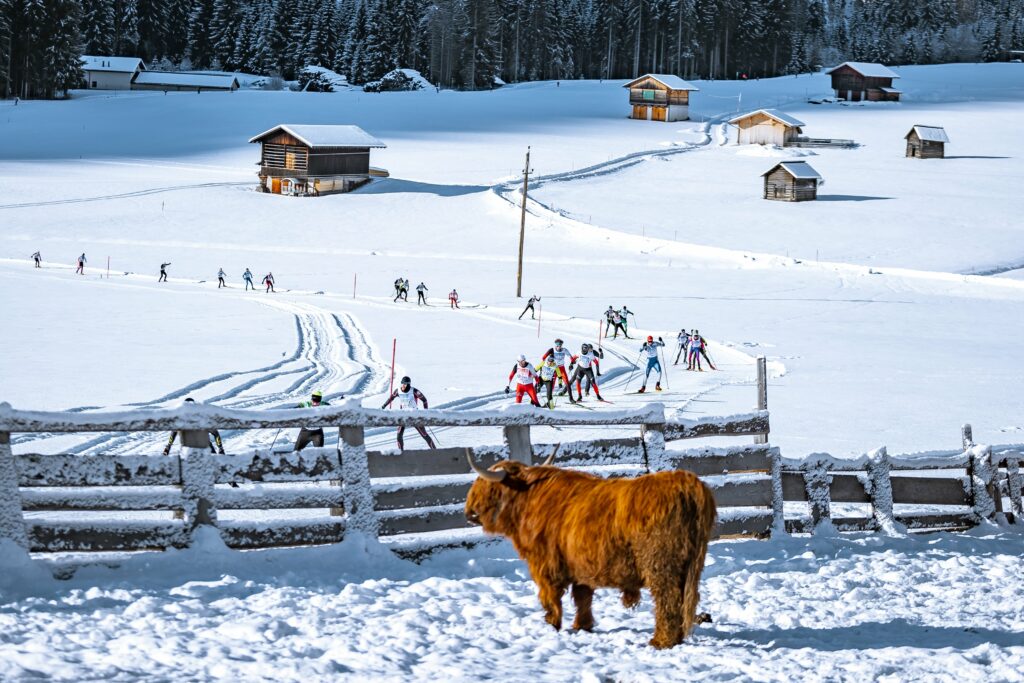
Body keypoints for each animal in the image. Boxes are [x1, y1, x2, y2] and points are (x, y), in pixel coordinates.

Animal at [466, 450, 716, 651]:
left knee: (667, 601)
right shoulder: (580, 566)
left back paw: (661, 641)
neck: (528, 499)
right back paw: (678, 637)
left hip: (661, 566)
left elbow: (551, 597)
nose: (469, 512)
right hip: (689, 566)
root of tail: (685, 482)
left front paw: (552, 624)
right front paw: (582, 626)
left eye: (485, 486)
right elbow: (583, 598)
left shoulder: (544, 565)